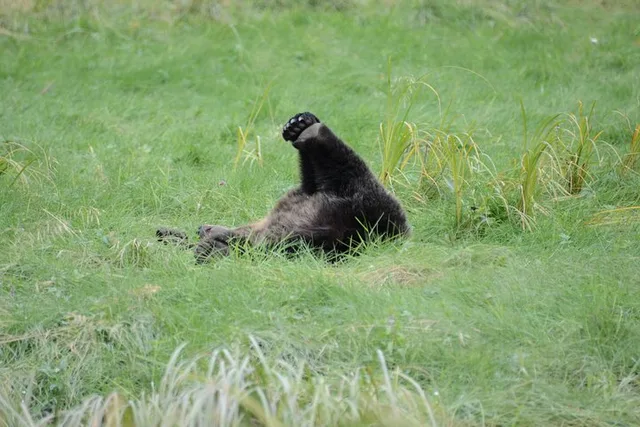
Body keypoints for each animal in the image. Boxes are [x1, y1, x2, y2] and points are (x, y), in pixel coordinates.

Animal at [157, 112, 410, 263]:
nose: (202, 227)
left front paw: (208, 246)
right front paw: (172, 235)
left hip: (366, 203)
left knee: (345, 165)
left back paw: (308, 129)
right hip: (334, 199)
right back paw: (301, 127)